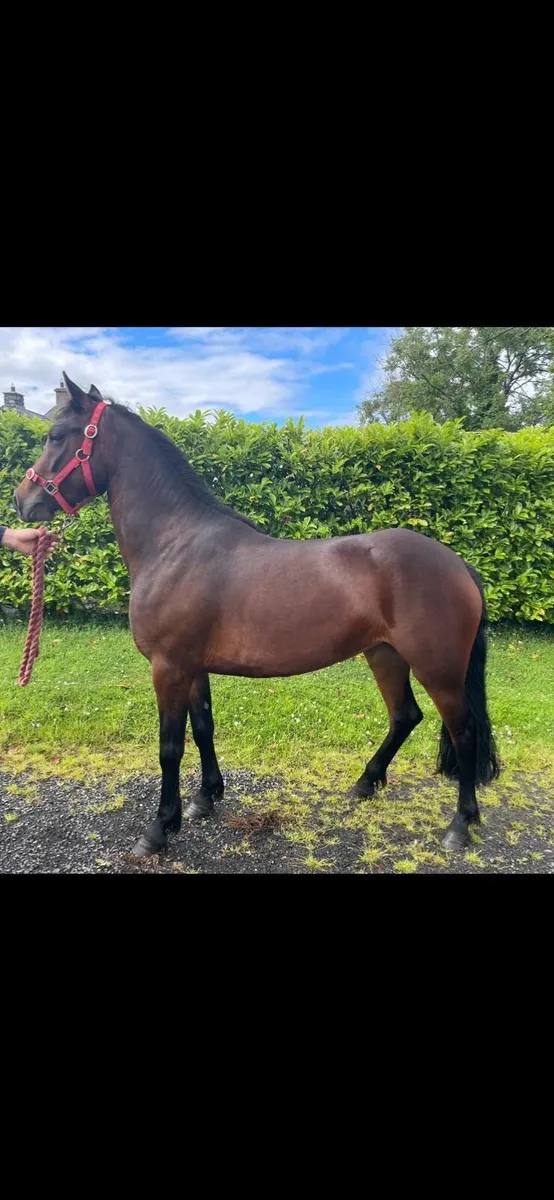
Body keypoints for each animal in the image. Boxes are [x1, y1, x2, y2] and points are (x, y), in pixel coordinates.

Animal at [15, 375, 499, 859]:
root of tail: (459, 564)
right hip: (385, 655)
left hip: (438, 670)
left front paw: (158, 829)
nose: (23, 500)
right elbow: (203, 728)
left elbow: (170, 747)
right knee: (405, 717)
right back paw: (365, 783)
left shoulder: (168, 668)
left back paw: (459, 825)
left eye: (56, 436)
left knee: (464, 732)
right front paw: (205, 799)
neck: (174, 544)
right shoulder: (193, 668)